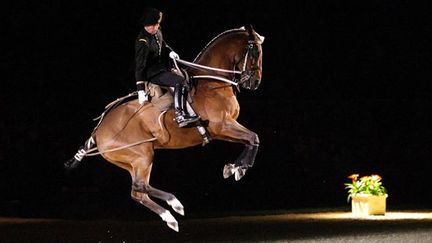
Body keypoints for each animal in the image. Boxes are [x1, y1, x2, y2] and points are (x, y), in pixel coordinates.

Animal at [66, 25, 264, 232]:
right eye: (255, 51)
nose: (254, 82)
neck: (210, 82)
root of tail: (98, 130)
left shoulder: (221, 131)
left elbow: (251, 140)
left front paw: (234, 167)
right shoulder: (223, 125)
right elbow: (254, 137)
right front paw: (240, 169)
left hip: (132, 161)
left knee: (138, 191)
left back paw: (171, 214)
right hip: (142, 155)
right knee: (140, 187)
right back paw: (173, 205)